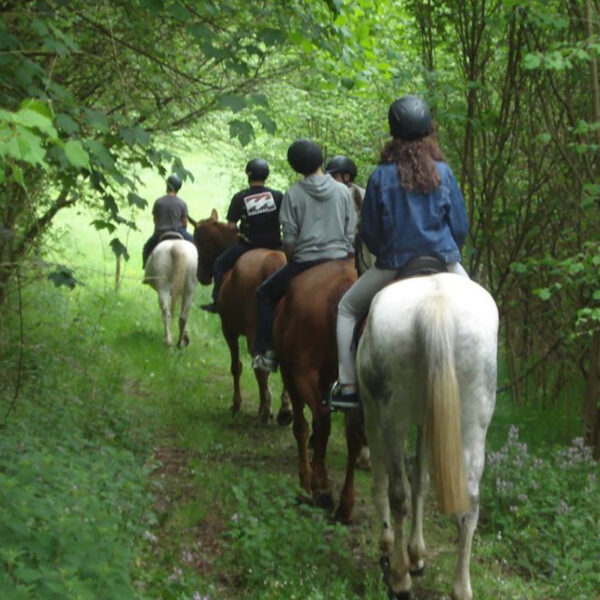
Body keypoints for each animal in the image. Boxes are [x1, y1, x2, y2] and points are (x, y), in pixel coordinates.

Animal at [195, 209, 292, 424]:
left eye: (198, 242)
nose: (200, 276)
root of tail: (273, 260)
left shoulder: (228, 330)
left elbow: (236, 366)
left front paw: (236, 404)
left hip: (253, 333)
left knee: (260, 370)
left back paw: (265, 409)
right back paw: (284, 410)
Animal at [274, 260, 366, 524]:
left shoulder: (290, 375)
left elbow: (302, 427)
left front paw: (305, 479)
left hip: (301, 375)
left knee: (322, 421)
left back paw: (319, 486)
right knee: (353, 435)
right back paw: (345, 506)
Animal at [356, 274, 496, 600]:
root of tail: (436, 303)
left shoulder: (372, 413)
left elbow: (385, 482)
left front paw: (391, 545)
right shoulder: (426, 423)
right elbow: (422, 479)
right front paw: (416, 553)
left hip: (393, 419)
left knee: (398, 493)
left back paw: (399, 578)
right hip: (473, 423)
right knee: (470, 503)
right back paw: (461, 588)